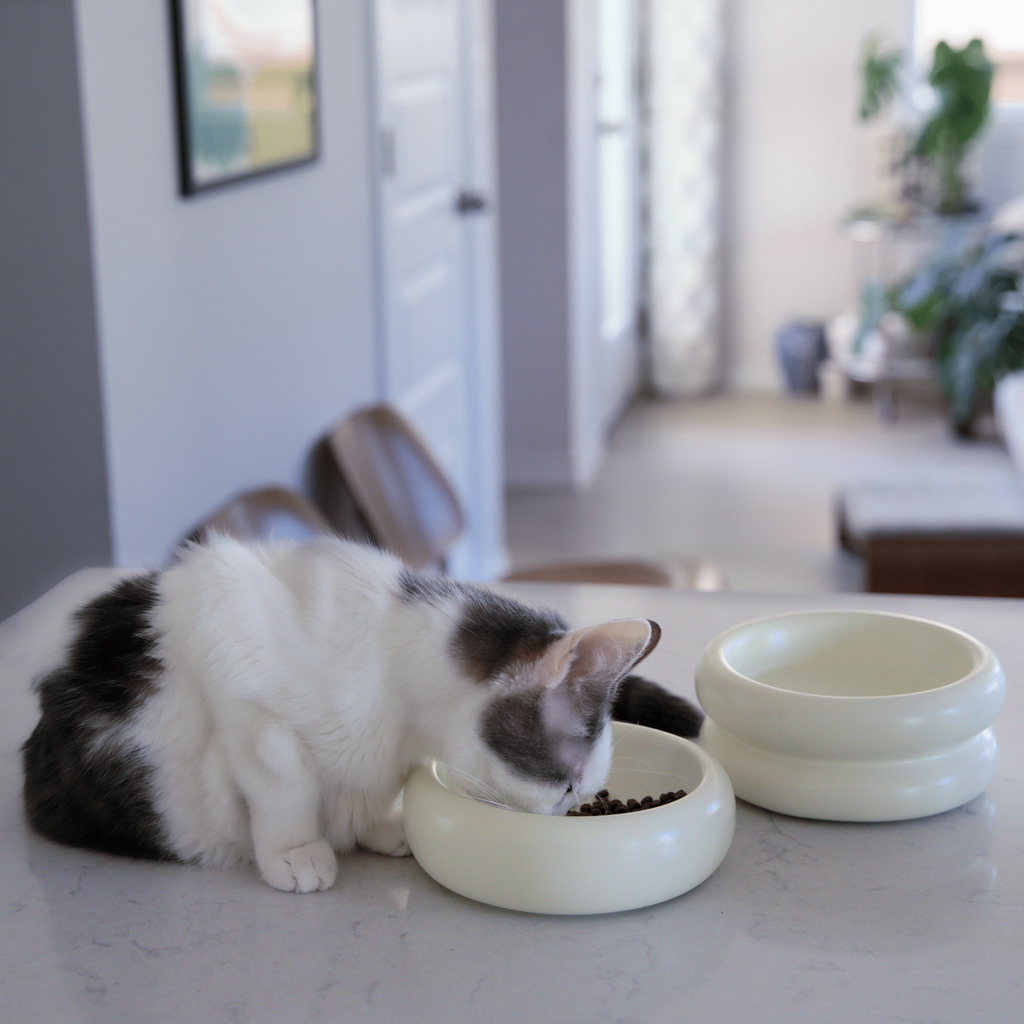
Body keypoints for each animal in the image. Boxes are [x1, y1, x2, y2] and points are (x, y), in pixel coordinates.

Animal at [24, 532, 700, 892]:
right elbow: (282, 783)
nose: (565, 818)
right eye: (564, 787)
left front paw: (377, 826)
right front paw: (296, 850)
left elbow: (366, 792)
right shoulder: (232, 662)